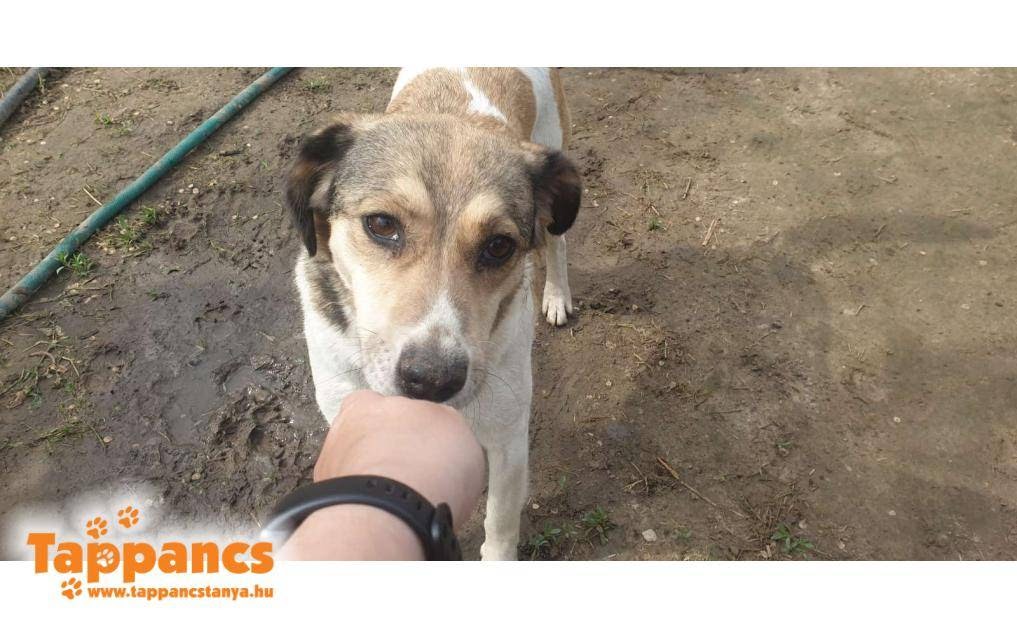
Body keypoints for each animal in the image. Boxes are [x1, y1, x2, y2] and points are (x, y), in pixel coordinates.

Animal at [286, 67, 581, 560]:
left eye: (499, 246)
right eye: (381, 224)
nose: (432, 380)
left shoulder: (508, 438)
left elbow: (500, 527)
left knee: (555, 245)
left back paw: (557, 295)